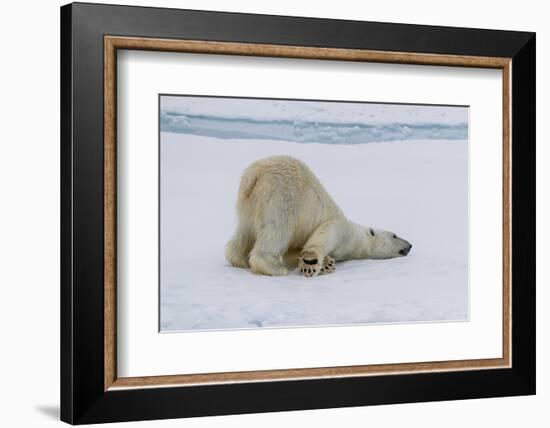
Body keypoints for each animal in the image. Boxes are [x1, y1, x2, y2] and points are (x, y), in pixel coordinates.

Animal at [226, 155, 412, 278]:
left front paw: (327, 264)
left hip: (248, 203)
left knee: (245, 232)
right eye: (394, 235)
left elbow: (294, 250)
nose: (410, 245)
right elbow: (323, 235)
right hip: (282, 196)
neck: (356, 240)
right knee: (277, 230)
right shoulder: (340, 228)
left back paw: (239, 260)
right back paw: (274, 268)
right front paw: (312, 262)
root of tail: (255, 171)